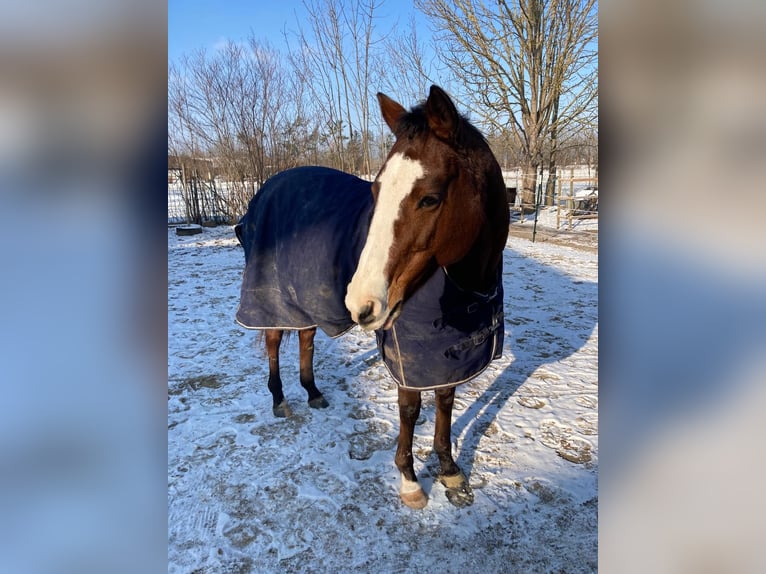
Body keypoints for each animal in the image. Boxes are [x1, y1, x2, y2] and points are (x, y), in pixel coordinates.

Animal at [234, 85, 510, 508]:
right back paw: (280, 399)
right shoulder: (409, 352)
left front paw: (449, 470)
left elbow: (445, 402)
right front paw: (410, 480)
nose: (360, 302)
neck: (467, 285)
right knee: (273, 341)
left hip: (305, 302)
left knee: (306, 339)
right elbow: (410, 408)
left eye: (430, 198)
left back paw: (312, 392)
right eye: (376, 190)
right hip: (273, 300)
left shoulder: (448, 352)